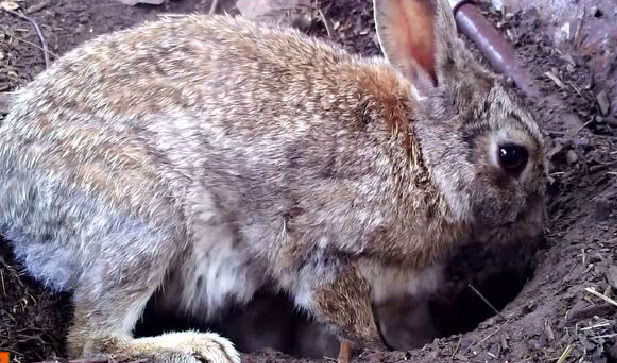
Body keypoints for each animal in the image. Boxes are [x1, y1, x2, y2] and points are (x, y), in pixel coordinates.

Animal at [0, 0, 548, 362]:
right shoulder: (321, 246)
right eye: (512, 156)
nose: (538, 220)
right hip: (144, 218)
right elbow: (344, 309)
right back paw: (199, 347)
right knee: (89, 343)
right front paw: (376, 350)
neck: (423, 153)